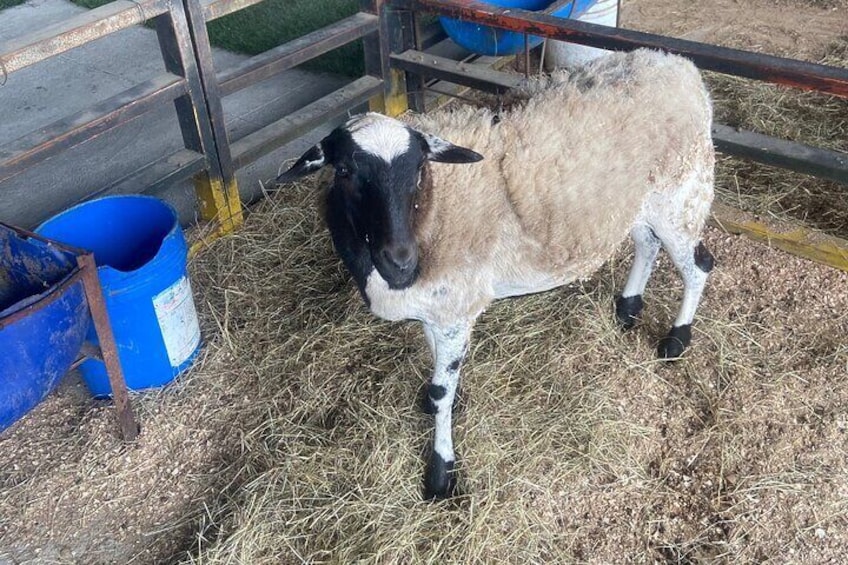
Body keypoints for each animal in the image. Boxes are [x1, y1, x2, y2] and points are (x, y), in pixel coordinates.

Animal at [274, 48, 712, 498]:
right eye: (344, 172)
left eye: (418, 170)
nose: (401, 262)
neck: (432, 209)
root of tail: (677, 64)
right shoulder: (441, 308)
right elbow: (438, 370)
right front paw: (441, 402)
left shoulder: (454, 306)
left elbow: (441, 388)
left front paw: (441, 473)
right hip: (640, 203)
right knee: (647, 244)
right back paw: (627, 309)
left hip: (682, 192)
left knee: (698, 266)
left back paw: (676, 340)